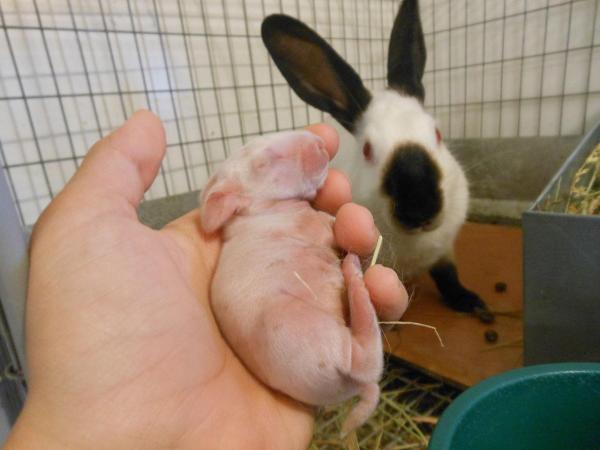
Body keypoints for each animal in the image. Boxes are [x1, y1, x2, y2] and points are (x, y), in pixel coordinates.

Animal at [199, 131, 382, 436]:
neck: (259, 211)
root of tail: (353, 385)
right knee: (366, 358)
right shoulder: (310, 224)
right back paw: (353, 272)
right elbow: (328, 224)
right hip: (307, 327)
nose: (319, 141)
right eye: (263, 163)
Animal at [262, 0, 492, 320]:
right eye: (368, 150)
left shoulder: (444, 251)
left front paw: (473, 303)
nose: (419, 210)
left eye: (437, 133)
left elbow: (448, 276)